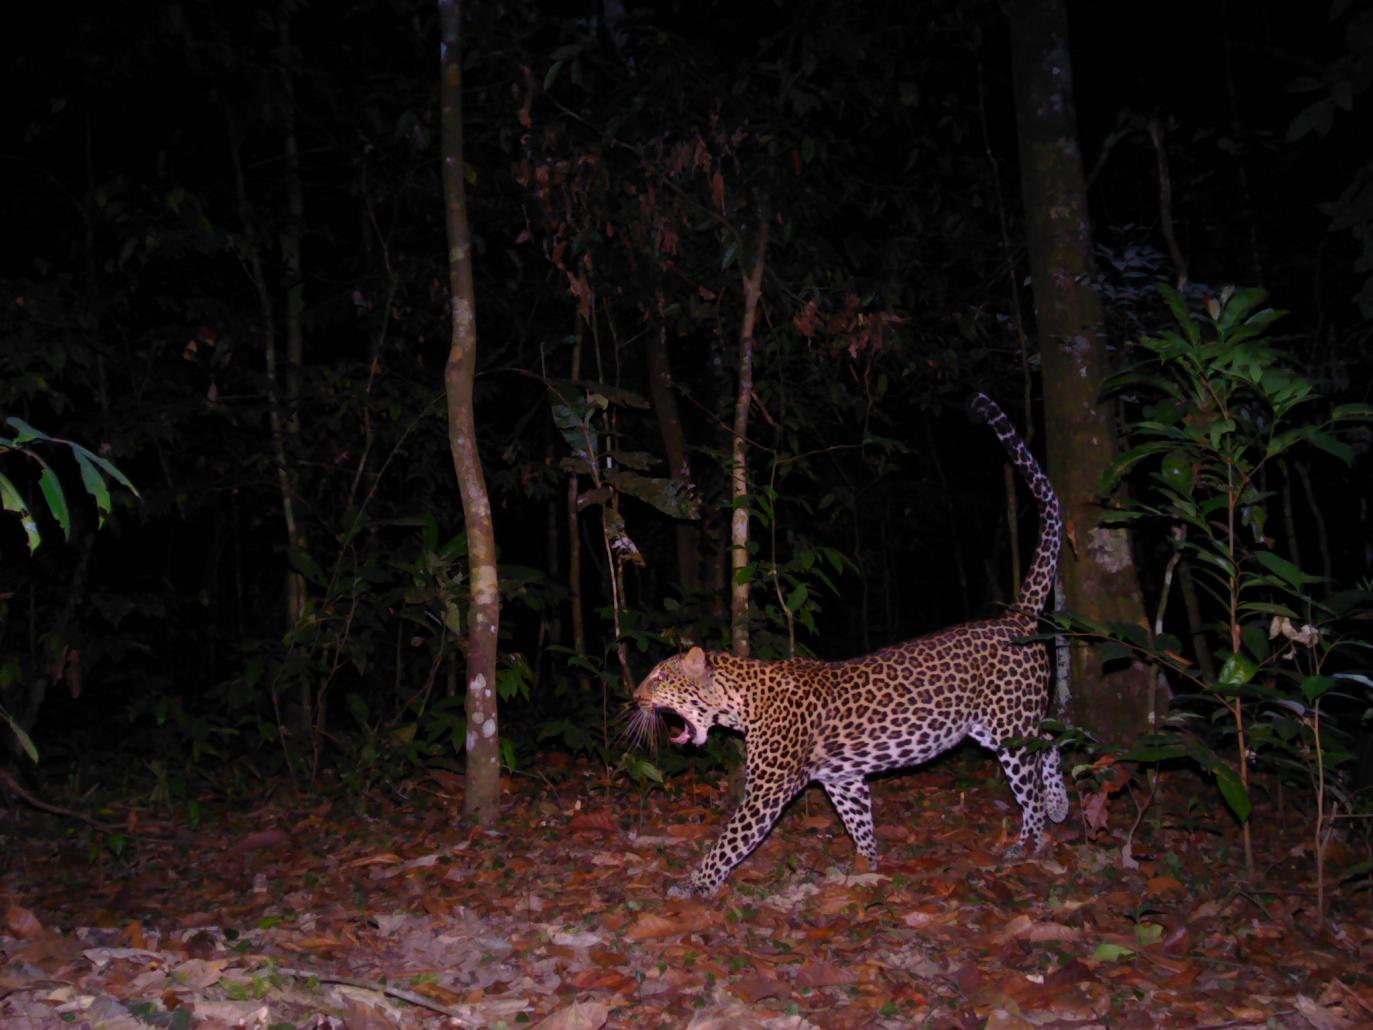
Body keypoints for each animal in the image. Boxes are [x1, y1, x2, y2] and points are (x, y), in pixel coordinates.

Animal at [631, 392, 1070, 895]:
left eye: (658, 678)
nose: (634, 697)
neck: (741, 701)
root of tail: (1015, 618)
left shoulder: (768, 789)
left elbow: (729, 841)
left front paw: (694, 884)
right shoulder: (844, 779)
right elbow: (860, 822)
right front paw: (866, 866)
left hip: (1008, 729)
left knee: (1030, 783)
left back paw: (1029, 843)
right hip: (993, 726)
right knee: (1052, 738)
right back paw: (1059, 806)